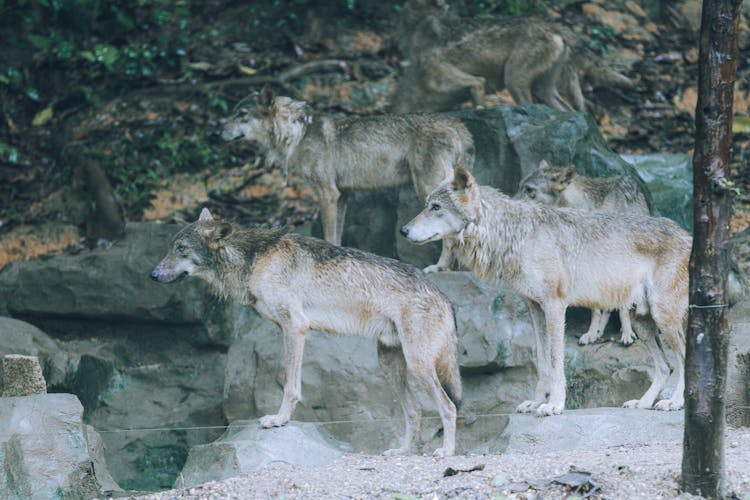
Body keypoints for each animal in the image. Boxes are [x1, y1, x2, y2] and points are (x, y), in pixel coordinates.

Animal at [153, 208, 464, 458]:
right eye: (170, 247)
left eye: (180, 248)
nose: (153, 275)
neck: (255, 259)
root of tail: (444, 297)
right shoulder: (288, 328)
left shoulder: (295, 327)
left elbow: (290, 386)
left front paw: (279, 420)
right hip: (390, 366)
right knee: (415, 410)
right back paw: (402, 452)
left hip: (418, 366)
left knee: (449, 407)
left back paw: (446, 452)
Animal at [220, 89, 476, 270]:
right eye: (233, 112)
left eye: (241, 115)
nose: (216, 132)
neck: (297, 134)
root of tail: (457, 126)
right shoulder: (342, 196)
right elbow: (337, 237)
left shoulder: (328, 194)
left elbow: (328, 236)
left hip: (428, 191)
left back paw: (439, 267)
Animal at [394, 0, 636, 113]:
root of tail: (554, 26)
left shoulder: (469, 81)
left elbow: (477, 98)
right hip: (544, 88)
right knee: (568, 110)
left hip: (515, 80)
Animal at [520, 160, 656, 348]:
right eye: (521, 187)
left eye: (529, 190)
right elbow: (595, 308)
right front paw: (592, 332)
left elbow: (622, 307)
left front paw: (627, 333)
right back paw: (598, 332)